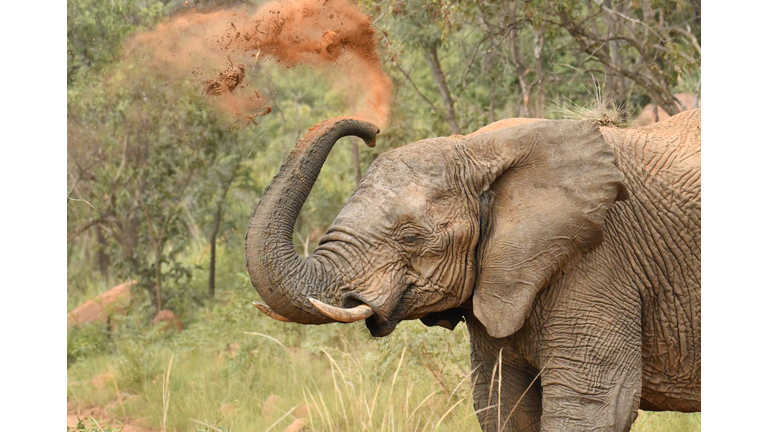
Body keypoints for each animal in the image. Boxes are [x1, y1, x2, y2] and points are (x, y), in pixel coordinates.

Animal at [246, 109, 704, 430]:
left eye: (410, 237)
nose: (372, 130)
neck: (482, 146)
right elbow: (502, 404)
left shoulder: (601, 261)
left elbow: (594, 405)